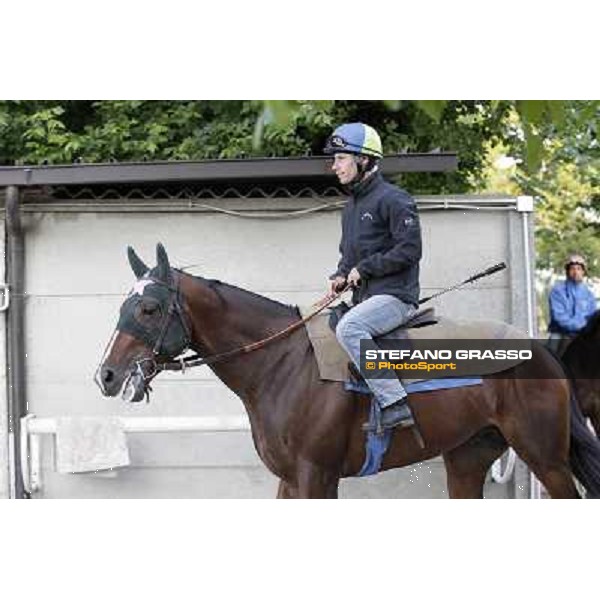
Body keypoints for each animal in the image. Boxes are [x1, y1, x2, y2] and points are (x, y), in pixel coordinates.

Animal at [96, 243, 600, 496]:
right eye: (123, 305)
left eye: (149, 308)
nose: (106, 375)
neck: (282, 364)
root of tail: (540, 350)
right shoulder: (290, 478)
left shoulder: (316, 475)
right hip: (467, 458)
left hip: (544, 455)